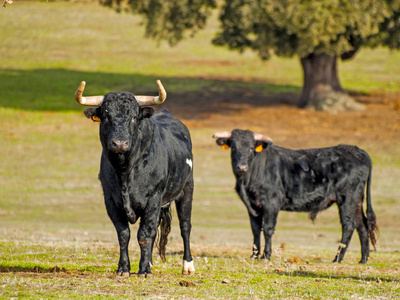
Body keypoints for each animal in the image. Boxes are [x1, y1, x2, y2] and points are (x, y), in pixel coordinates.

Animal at [75, 79, 195, 276]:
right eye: (106, 117)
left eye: (133, 117)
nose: (120, 143)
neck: (125, 171)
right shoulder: (110, 200)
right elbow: (124, 235)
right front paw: (124, 268)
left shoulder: (153, 198)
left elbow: (144, 234)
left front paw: (144, 269)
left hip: (187, 189)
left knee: (185, 226)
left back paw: (188, 265)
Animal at [214, 128, 376, 262]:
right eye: (234, 147)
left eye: (251, 148)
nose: (242, 167)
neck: (247, 181)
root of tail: (355, 150)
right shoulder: (252, 206)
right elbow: (255, 230)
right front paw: (254, 255)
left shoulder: (271, 203)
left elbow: (267, 228)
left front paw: (266, 256)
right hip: (356, 201)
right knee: (362, 225)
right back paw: (363, 259)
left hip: (347, 199)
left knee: (349, 225)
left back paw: (337, 258)